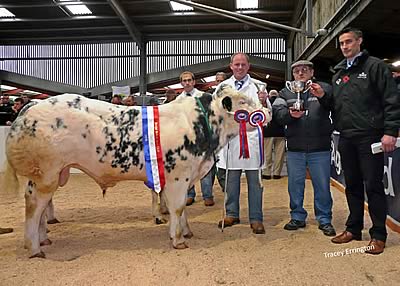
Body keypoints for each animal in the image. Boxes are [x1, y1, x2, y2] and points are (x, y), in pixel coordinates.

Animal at [3, 86, 272, 258]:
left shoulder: (182, 177)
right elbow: (176, 207)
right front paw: (178, 240)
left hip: (48, 175)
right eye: (243, 103)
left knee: (38, 207)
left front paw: (186, 232)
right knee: (35, 205)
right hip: (46, 174)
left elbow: (181, 208)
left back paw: (43, 238)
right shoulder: (178, 176)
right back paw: (35, 248)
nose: (266, 113)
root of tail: (34, 104)